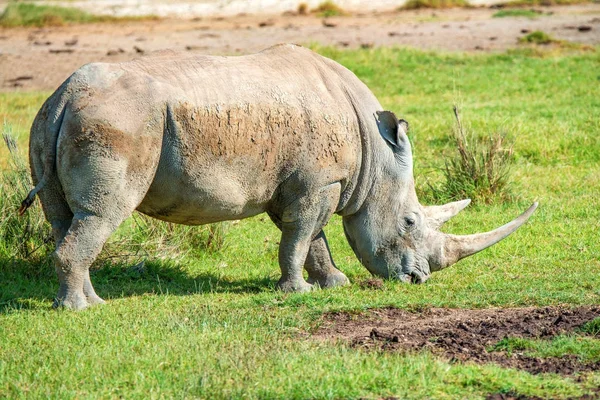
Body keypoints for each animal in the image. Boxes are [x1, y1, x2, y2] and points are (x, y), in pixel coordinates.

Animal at [21, 45, 536, 310]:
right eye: (409, 222)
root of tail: (65, 95)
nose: (416, 281)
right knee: (102, 214)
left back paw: (85, 301)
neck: (375, 155)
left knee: (65, 218)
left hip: (52, 120)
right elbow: (302, 235)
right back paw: (85, 309)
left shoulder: (308, 182)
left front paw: (334, 284)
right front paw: (299, 292)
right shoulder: (319, 182)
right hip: (119, 120)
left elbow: (314, 238)